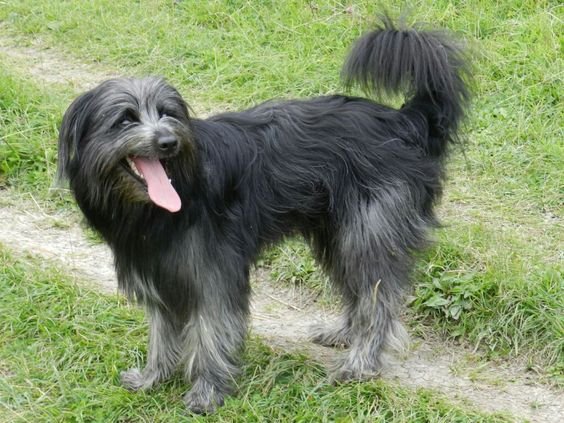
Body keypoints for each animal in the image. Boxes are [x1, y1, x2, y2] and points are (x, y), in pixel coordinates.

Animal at [57, 16, 472, 414]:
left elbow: (211, 331)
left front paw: (207, 393)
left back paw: (360, 364)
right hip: (337, 235)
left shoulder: (213, 273)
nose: (168, 142)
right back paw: (343, 334)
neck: (158, 208)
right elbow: (162, 333)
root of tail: (405, 122)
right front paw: (152, 378)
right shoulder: (158, 271)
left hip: (367, 233)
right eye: (126, 119)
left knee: (378, 299)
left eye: (168, 113)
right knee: (358, 292)